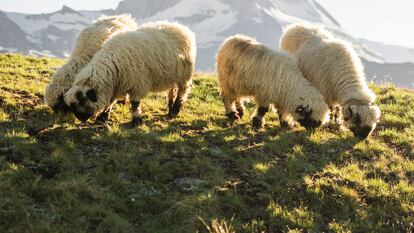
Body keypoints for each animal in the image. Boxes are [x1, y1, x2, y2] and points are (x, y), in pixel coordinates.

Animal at [63, 21, 196, 126]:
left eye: (81, 100)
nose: (80, 119)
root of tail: (181, 27)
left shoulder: (137, 83)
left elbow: (135, 103)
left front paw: (136, 120)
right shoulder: (116, 84)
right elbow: (110, 102)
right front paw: (102, 117)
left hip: (185, 75)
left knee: (183, 91)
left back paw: (175, 110)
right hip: (174, 74)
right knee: (172, 89)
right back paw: (170, 108)